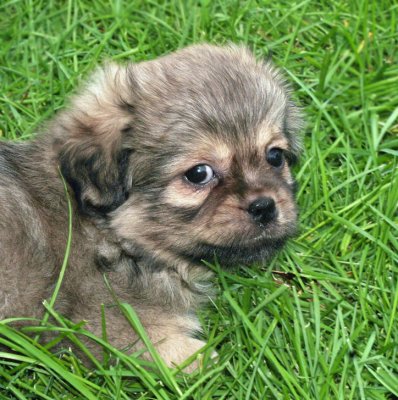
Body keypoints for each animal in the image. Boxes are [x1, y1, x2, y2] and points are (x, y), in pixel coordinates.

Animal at [0, 44, 302, 368]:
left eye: (275, 156)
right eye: (199, 173)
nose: (264, 206)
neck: (111, 236)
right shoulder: (128, 332)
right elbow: (209, 360)